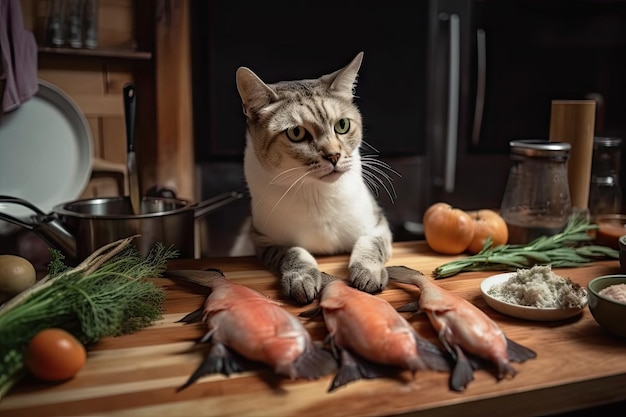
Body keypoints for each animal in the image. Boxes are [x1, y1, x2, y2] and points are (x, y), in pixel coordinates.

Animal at [234, 52, 394, 304]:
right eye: (296, 133)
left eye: (342, 125)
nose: (334, 155)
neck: (316, 193)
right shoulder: (265, 240)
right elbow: (295, 252)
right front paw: (301, 280)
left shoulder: (378, 225)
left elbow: (368, 243)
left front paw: (367, 272)